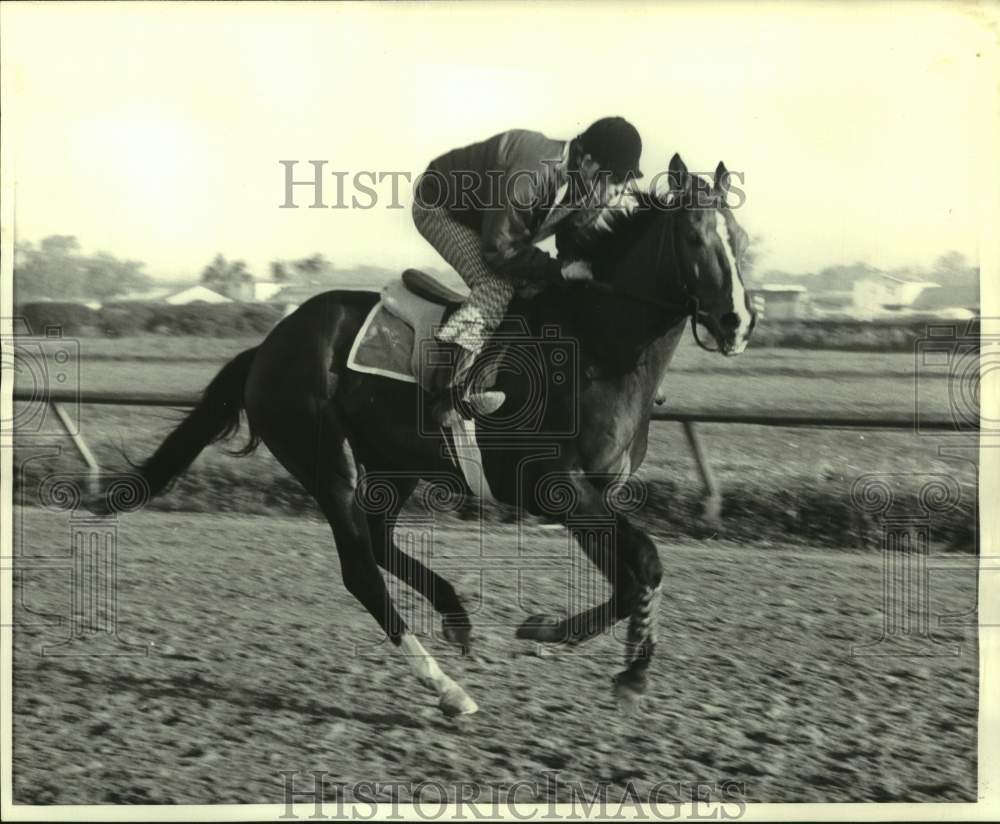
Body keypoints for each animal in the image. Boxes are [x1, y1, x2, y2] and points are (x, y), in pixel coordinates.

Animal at [123, 153, 752, 716]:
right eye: (694, 238)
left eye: (741, 240)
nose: (737, 322)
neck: (596, 347)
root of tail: (269, 344)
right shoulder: (556, 486)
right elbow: (646, 560)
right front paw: (632, 674)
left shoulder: (592, 492)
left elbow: (631, 578)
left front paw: (549, 631)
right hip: (323, 459)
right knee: (360, 568)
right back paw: (446, 687)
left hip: (392, 461)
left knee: (377, 539)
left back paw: (455, 615)